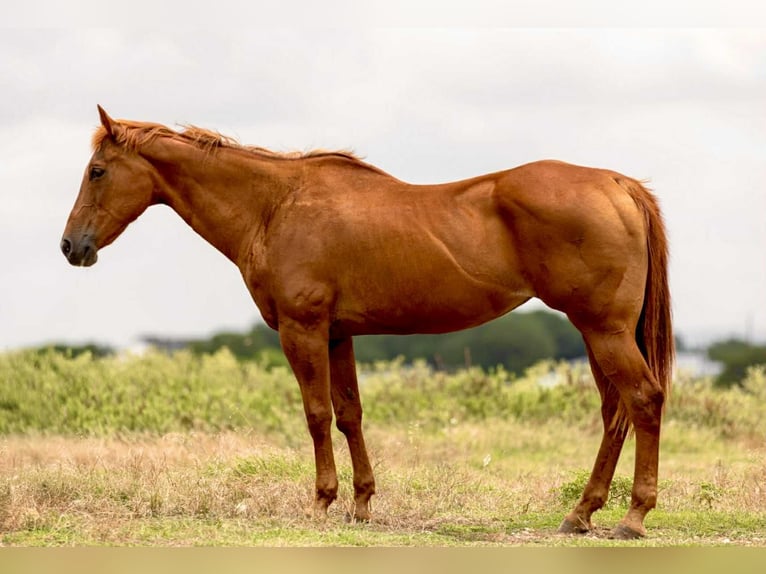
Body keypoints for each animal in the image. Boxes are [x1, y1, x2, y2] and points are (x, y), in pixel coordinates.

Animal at [61, 106, 673, 539]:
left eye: (97, 171)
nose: (71, 247)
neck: (275, 207)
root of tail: (617, 184)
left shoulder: (302, 330)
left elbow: (316, 415)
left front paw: (320, 503)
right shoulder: (338, 335)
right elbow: (349, 414)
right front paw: (361, 504)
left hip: (604, 331)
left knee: (644, 401)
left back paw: (632, 518)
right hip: (596, 334)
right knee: (614, 414)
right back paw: (581, 514)